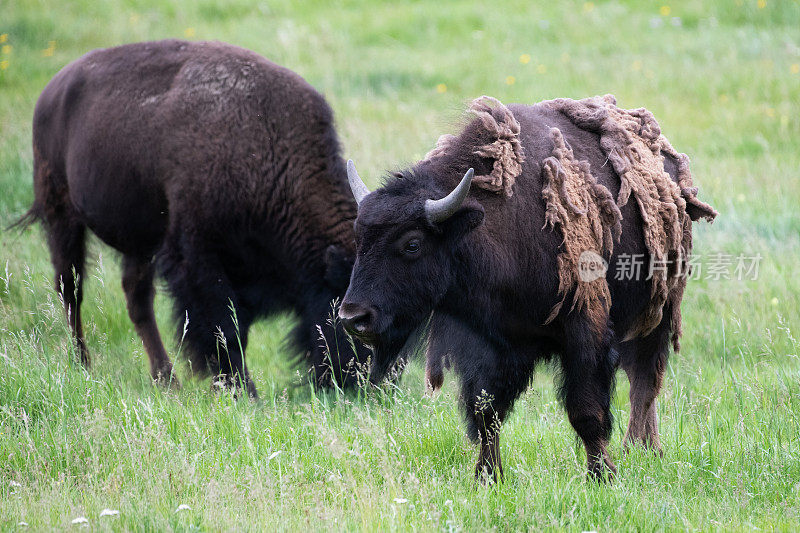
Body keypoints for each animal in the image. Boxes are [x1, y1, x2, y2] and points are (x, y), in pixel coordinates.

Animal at [18, 39, 368, 396]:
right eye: (349, 317)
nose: (366, 384)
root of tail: (52, 89)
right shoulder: (197, 256)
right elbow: (224, 328)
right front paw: (243, 391)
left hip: (139, 240)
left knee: (137, 299)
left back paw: (166, 380)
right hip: (61, 214)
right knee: (71, 288)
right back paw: (84, 364)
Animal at [340, 96, 716, 482]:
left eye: (412, 243)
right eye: (359, 237)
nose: (353, 317)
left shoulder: (585, 333)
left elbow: (586, 411)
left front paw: (602, 475)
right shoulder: (487, 345)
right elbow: (486, 413)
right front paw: (488, 476)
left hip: (657, 315)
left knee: (644, 383)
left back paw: (643, 450)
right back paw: (641, 449)